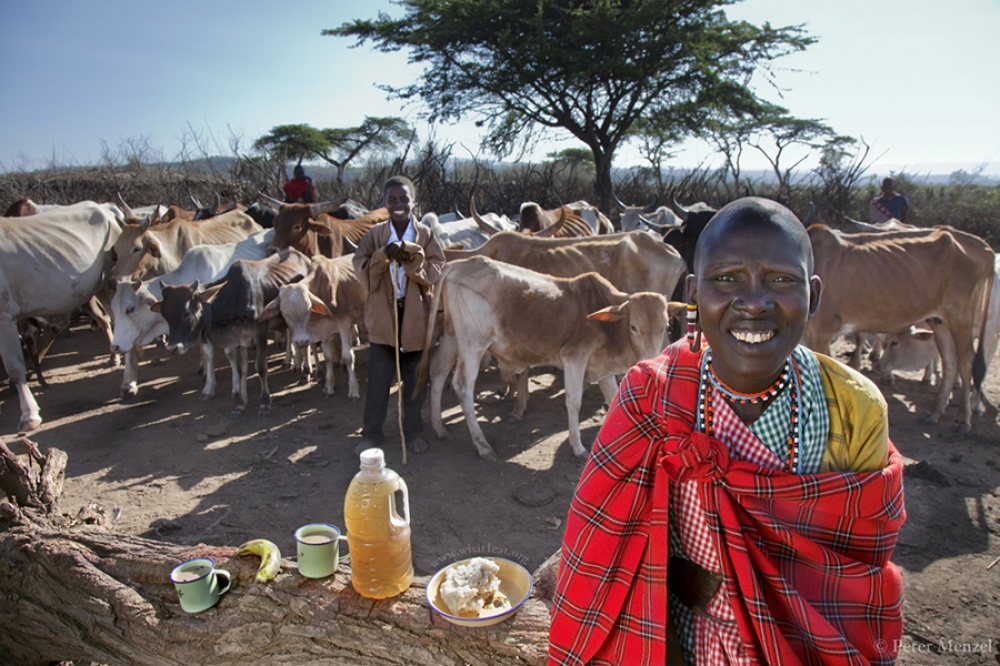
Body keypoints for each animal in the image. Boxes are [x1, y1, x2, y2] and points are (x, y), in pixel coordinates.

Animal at [260, 254, 366, 396]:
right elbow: (327, 357)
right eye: (283, 312)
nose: (301, 341)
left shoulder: (344, 323)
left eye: (309, 309)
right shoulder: (325, 332)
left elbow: (348, 356)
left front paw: (353, 390)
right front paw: (329, 386)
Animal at [418, 254, 676, 456]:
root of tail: (460, 263)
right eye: (634, 327)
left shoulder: (601, 367)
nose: (651, 362)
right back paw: (482, 446)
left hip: (452, 337)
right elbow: (574, 400)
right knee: (463, 386)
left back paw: (440, 428)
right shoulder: (574, 357)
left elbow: (613, 398)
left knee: (437, 371)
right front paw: (578, 447)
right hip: (473, 345)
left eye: (664, 326)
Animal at [808, 223, 996, 430]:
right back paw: (934, 414)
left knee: (967, 362)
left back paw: (963, 418)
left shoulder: (822, 332)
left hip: (961, 317)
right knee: (950, 363)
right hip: (940, 321)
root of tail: (984, 247)